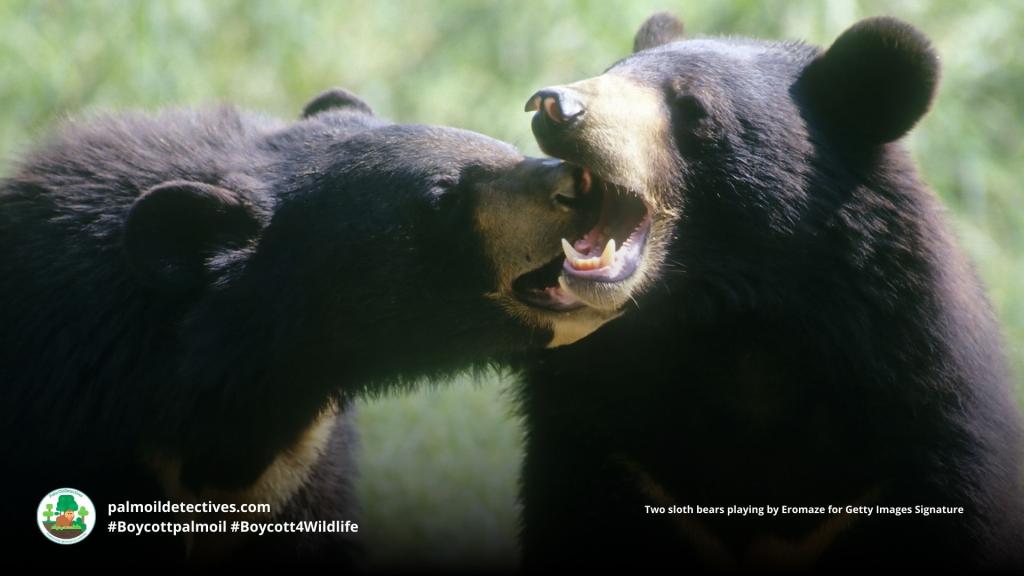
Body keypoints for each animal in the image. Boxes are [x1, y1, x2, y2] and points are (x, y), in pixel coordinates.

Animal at [520, 13, 1024, 569]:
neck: (742, 322)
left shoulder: (924, 417)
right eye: (611, 71)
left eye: (692, 106)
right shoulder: (609, 446)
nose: (554, 105)